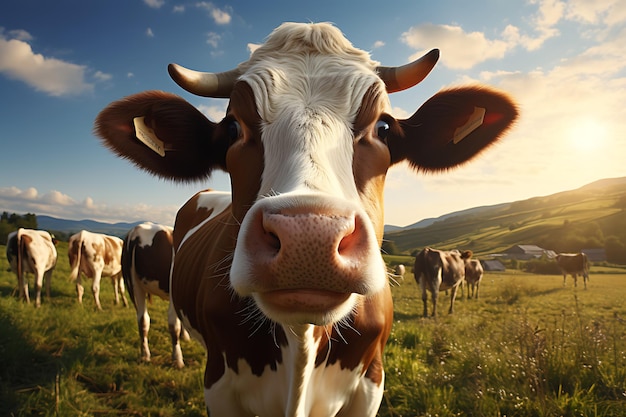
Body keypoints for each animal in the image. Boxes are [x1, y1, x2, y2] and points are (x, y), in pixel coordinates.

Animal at [121, 223, 188, 366]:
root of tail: (136, 232)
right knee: (172, 323)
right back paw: (177, 358)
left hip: (135, 286)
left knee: (143, 320)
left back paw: (145, 355)